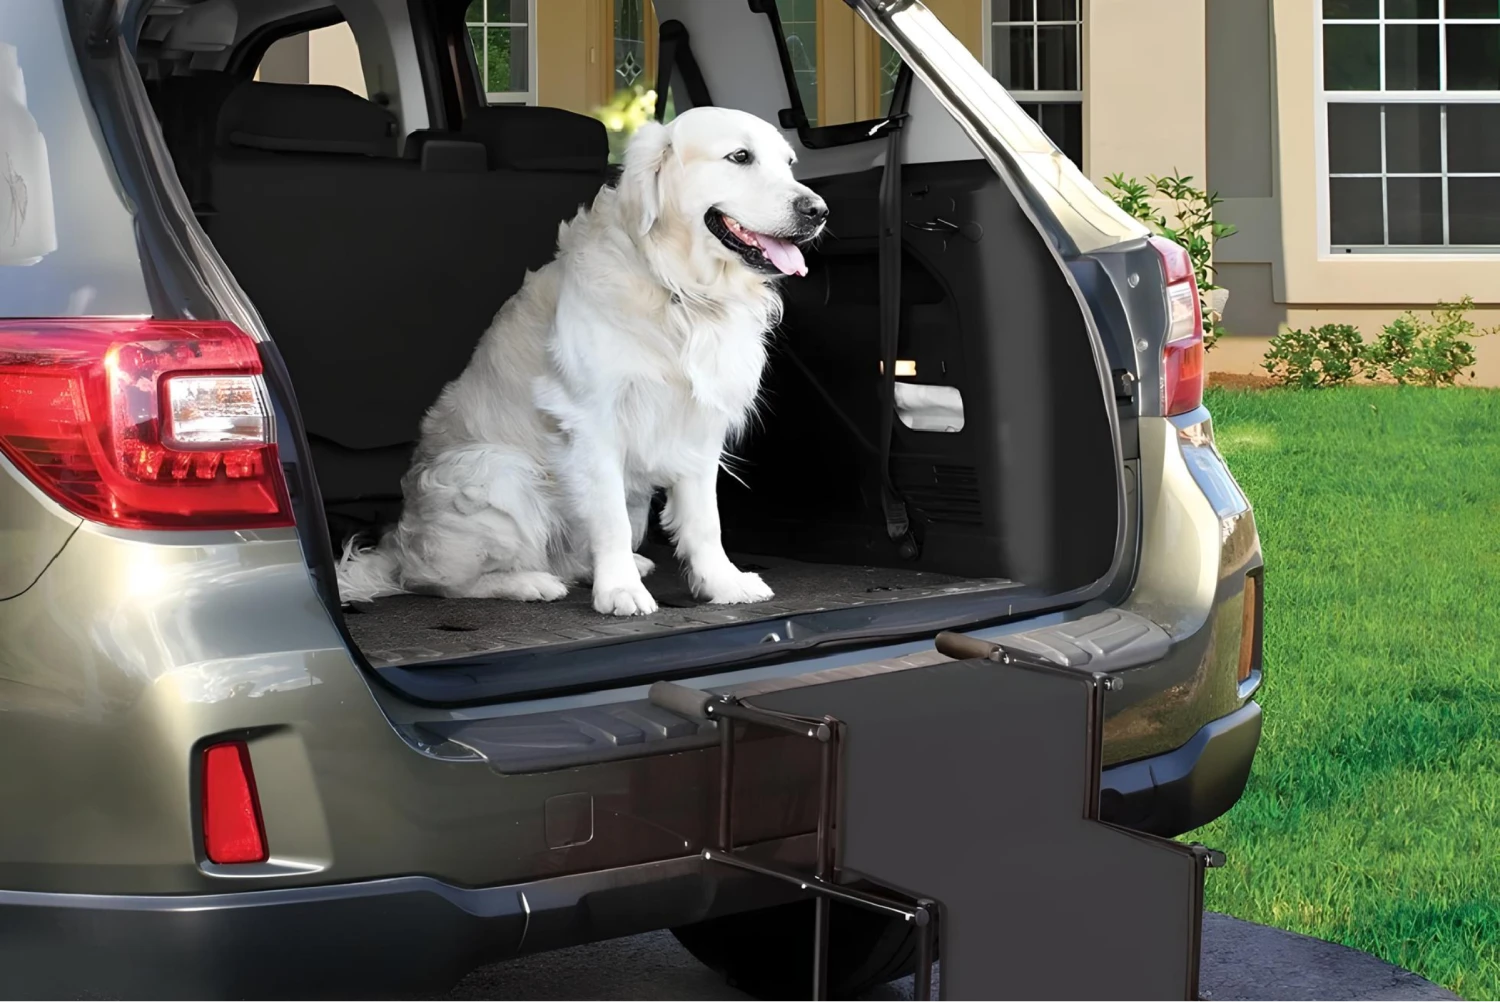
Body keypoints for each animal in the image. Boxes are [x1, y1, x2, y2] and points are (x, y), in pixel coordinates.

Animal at [339, 105, 828, 615]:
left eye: (789, 163)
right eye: (740, 157)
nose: (818, 211)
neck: (678, 289)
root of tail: (398, 545)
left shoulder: (698, 422)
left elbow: (703, 521)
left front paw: (722, 583)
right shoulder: (593, 419)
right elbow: (609, 518)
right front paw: (620, 591)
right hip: (497, 471)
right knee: (437, 581)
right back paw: (530, 582)